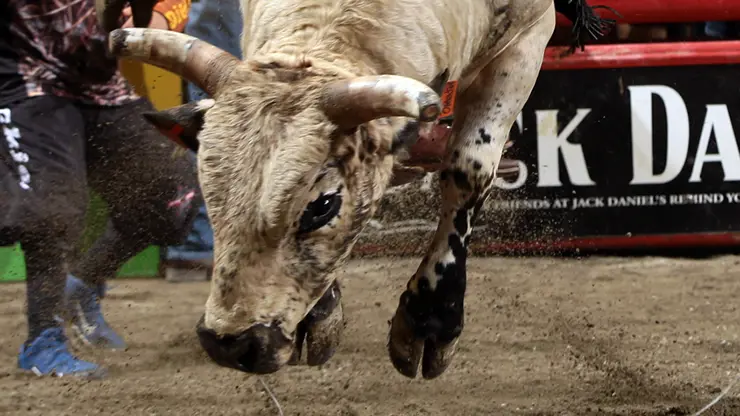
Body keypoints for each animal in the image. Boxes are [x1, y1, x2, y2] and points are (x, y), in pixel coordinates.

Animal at [100, 0, 615, 379]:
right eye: (210, 193)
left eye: (323, 205)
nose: (231, 342)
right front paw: (319, 313)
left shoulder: (526, 39)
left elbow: (468, 169)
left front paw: (431, 319)